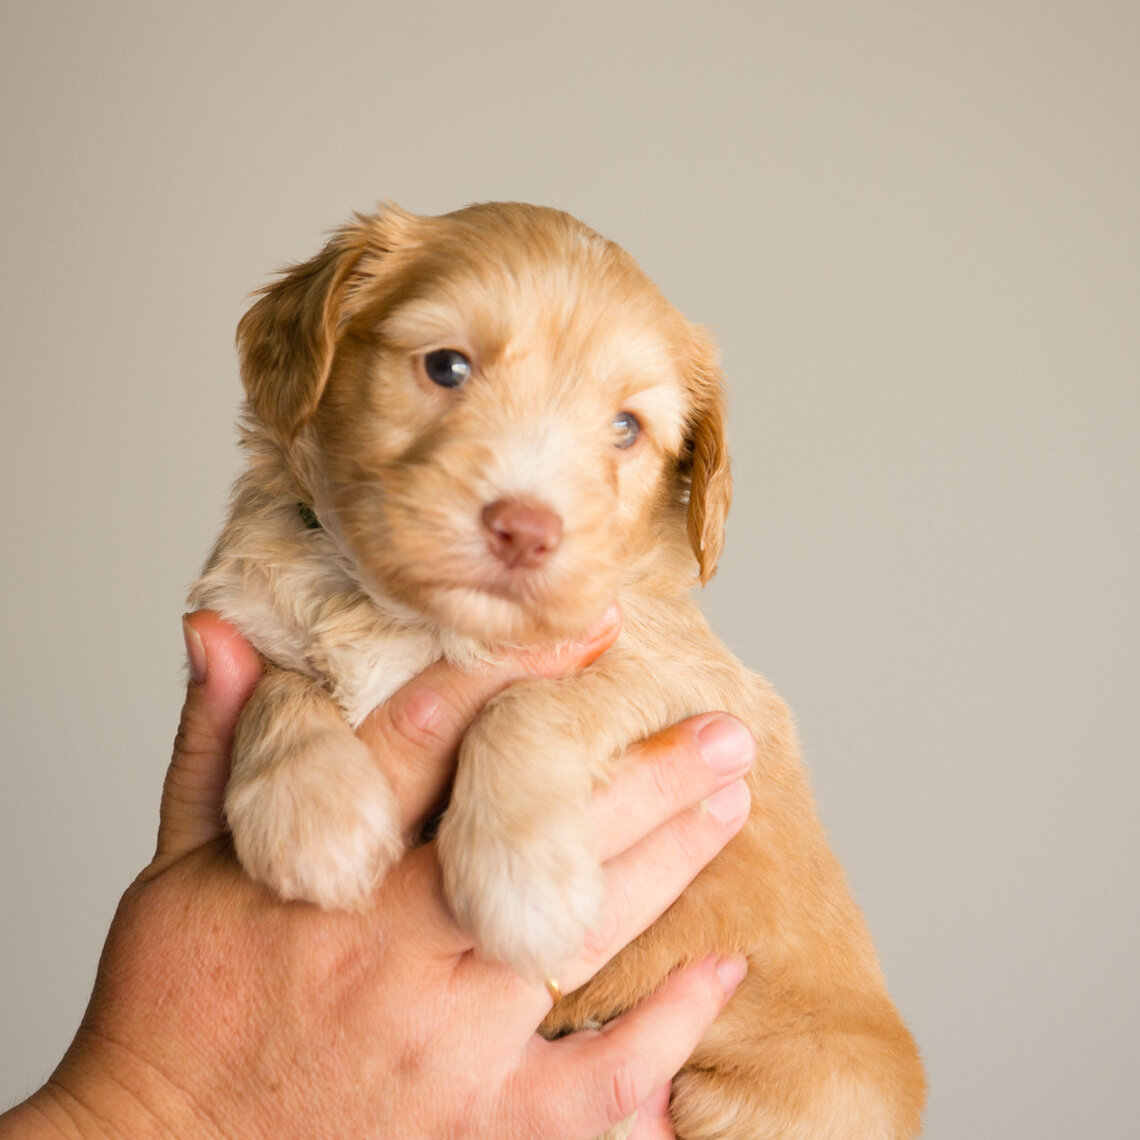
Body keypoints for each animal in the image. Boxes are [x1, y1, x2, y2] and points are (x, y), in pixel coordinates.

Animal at [193, 200, 925, 1135]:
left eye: (625, 428)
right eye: (447, 366)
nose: (526, 527)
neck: (407, 617)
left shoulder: (693, 683)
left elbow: (532, 700)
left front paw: (523, 878)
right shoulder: (250, 618)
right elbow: (283, 687)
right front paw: (311, 813)